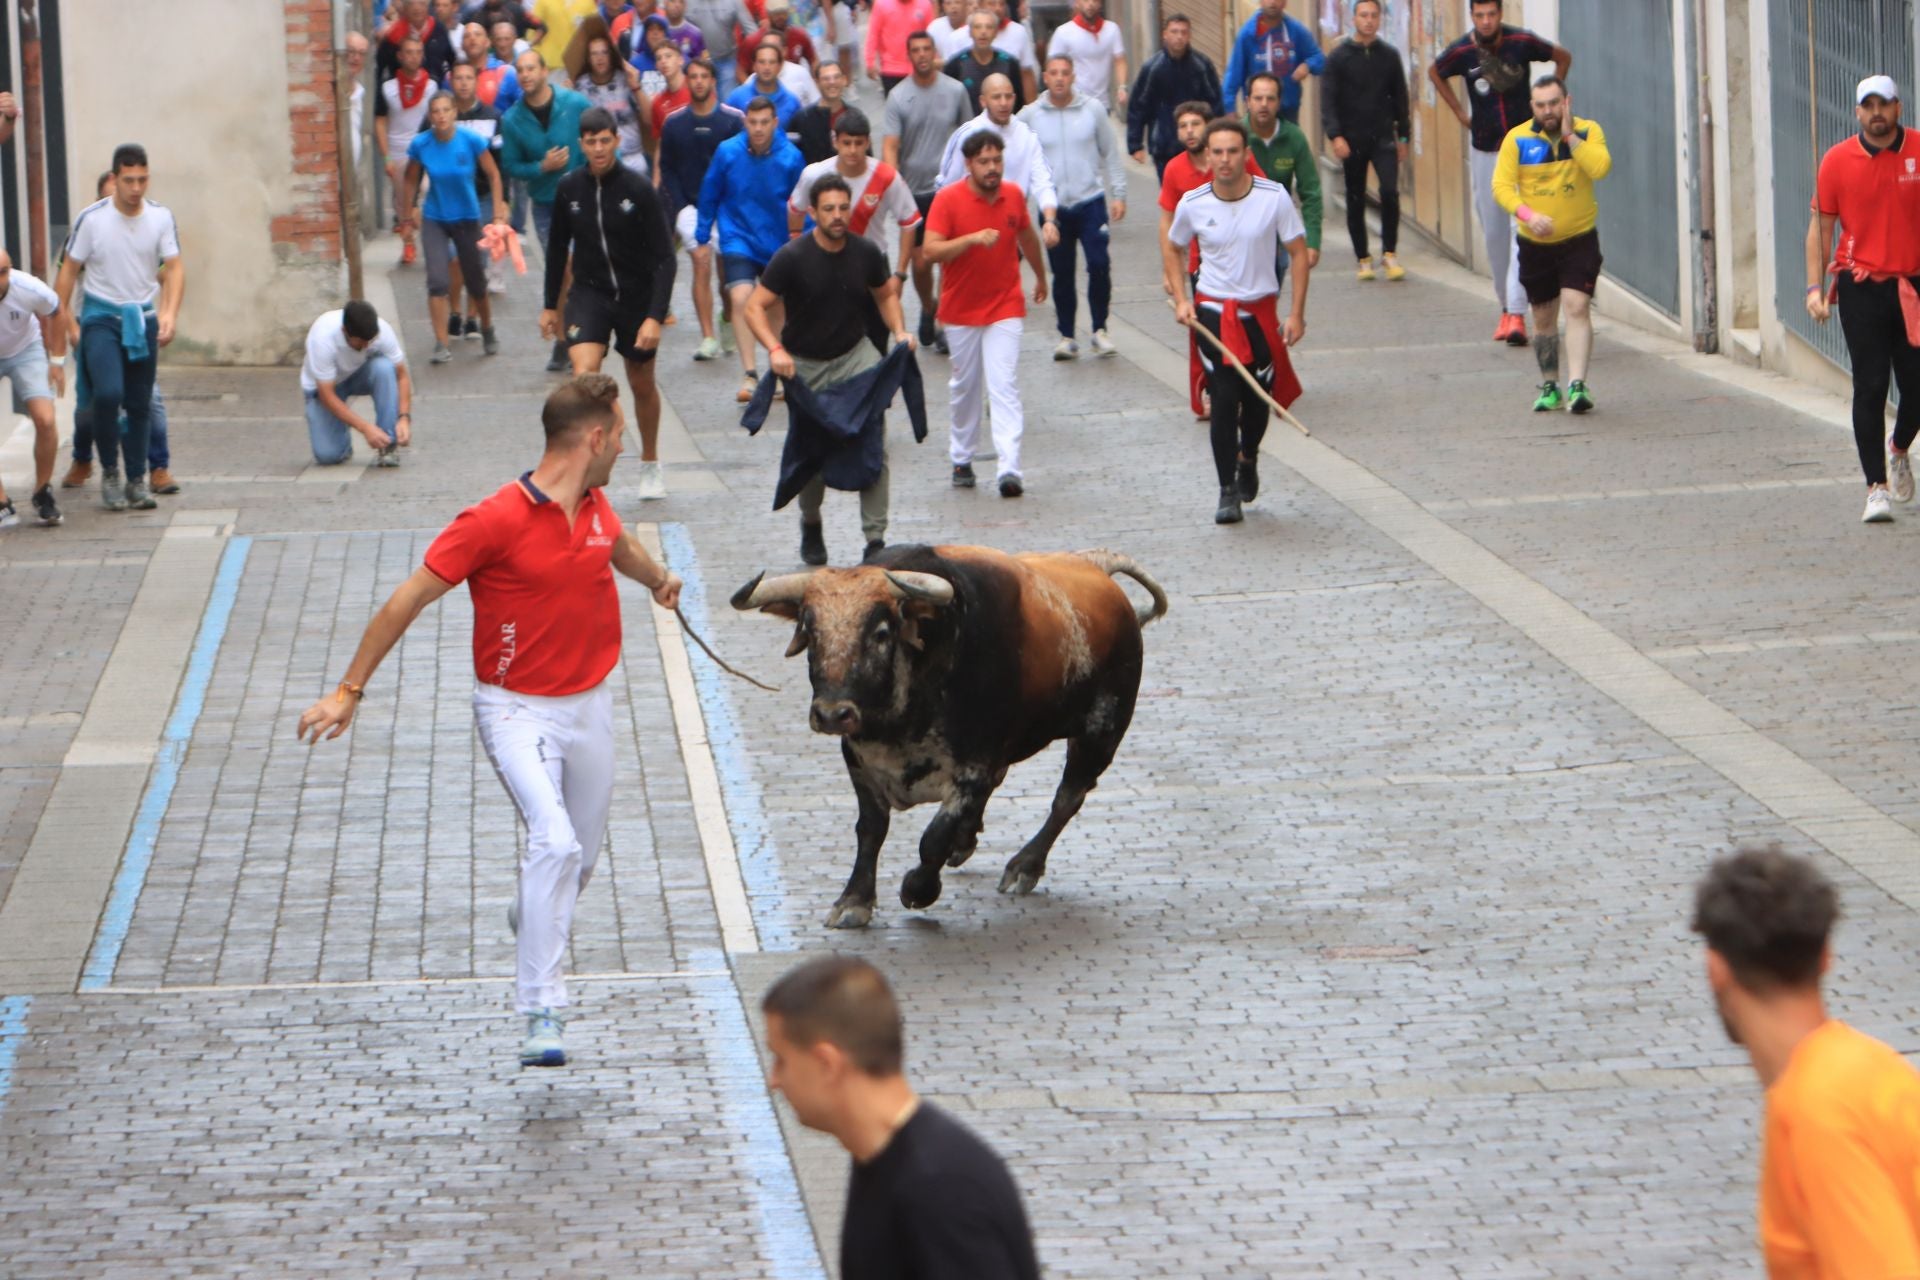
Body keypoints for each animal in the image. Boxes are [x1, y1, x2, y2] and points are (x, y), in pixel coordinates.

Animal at [725, 545, 1159, 924]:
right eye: (810, 630)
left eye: (881, 632)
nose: (833, 714)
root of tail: (1096, 569)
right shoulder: (860, 763)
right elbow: (870, 830)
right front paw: (853, 901)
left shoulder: (973, 769)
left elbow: (932, 838)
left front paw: (918, 888)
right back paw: (967, 844)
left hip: (1100, 733)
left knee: (1067, 799)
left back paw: (1024, 866)